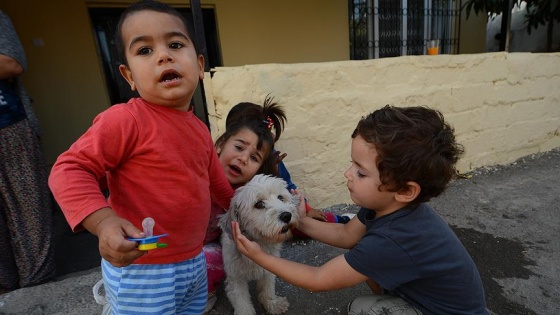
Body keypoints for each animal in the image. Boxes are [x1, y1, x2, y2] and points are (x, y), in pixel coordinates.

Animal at [219, 175, 300, 315]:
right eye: (259, 204)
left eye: (280, 197)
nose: (286, 215)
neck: (260, 242)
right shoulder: (235, 278)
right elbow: (242, 303)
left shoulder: (268, 269)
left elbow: (267, 290)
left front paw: (272, 304)